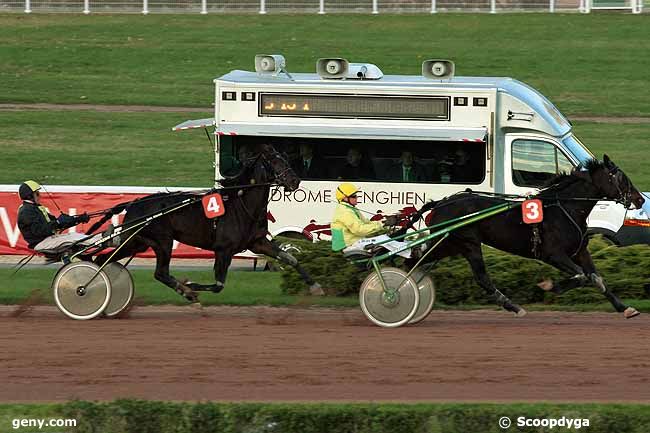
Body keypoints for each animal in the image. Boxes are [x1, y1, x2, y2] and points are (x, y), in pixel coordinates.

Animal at [87, 142, 320, 300]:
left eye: (287, 160)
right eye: (273, 162)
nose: (294, 181)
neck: (242, 205)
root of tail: (135, 203)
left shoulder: (258, 242)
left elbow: (291, 259)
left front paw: (315, 285)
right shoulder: (224, 249)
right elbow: (218, 285)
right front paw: (190, 285)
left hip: (138, 242)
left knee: (103, 258)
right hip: (162, 241)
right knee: (160, 273)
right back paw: (185, 291)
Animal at [400, 154, 644, 318]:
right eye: (621, 178)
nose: (640, 199)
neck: (566, 208)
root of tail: (440, 203)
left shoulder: (581, 251)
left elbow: (597, 278)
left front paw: (625, 308)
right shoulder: (553, 254)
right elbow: (582, 276)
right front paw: (549, 286)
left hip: (451, 244)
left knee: (415, 261)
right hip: (468, 243)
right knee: (481, 278)